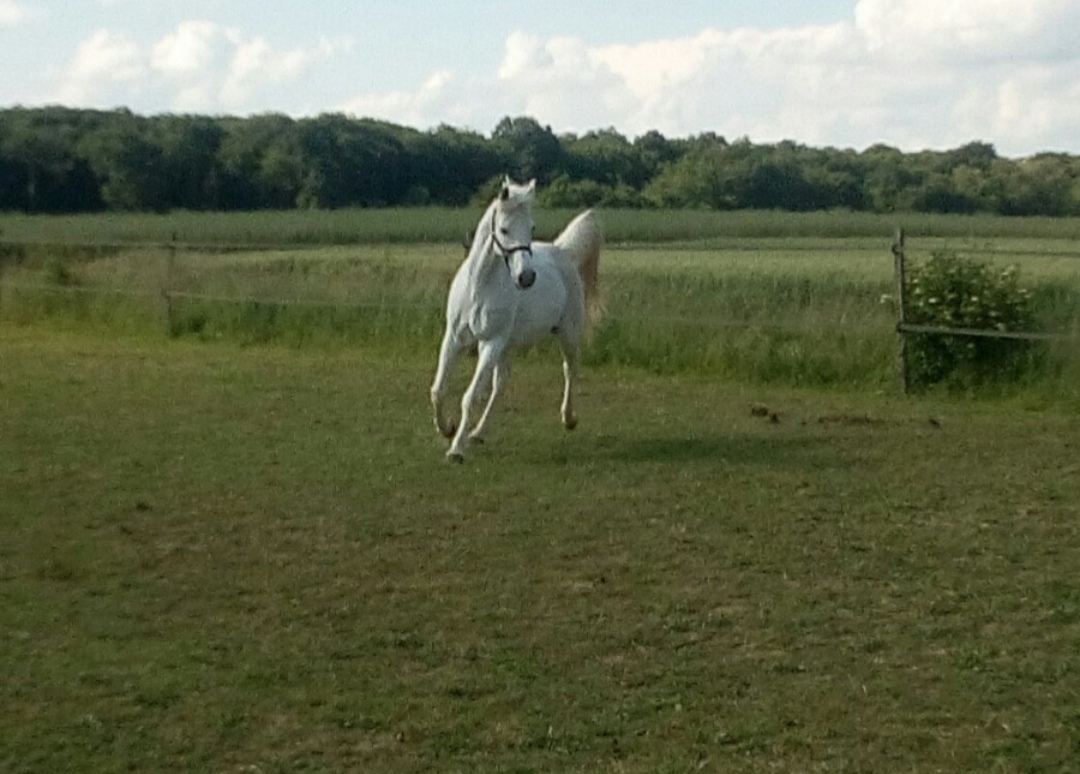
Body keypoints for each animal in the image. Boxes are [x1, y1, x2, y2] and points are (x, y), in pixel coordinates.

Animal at [430, 177, 603, 462]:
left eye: (531, 226)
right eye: (504, 229)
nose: (526, 277)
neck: (478, 287)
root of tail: (562, 251)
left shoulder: (491, 343)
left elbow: (471, 397)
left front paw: (456, 448)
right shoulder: (455, 339)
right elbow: (438, 389)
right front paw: (447, 429)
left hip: (566, 333)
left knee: (570, 369)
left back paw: (569, 418)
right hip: (506, 346)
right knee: (501, 383)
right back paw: (478, 433)